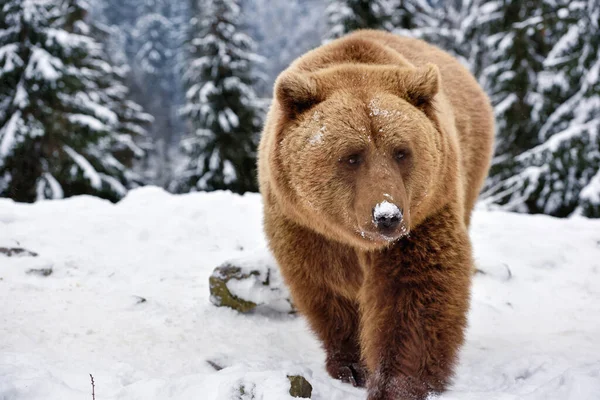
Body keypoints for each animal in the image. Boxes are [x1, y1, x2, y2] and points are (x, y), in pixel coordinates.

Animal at [256, 28, 492, 400]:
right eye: (352, 156)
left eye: (401, 152)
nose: (387, 216)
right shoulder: (304, 226)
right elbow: (328, 286)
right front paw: (351, 365)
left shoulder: (424, 219)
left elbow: (415, 292)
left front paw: (397, 383)